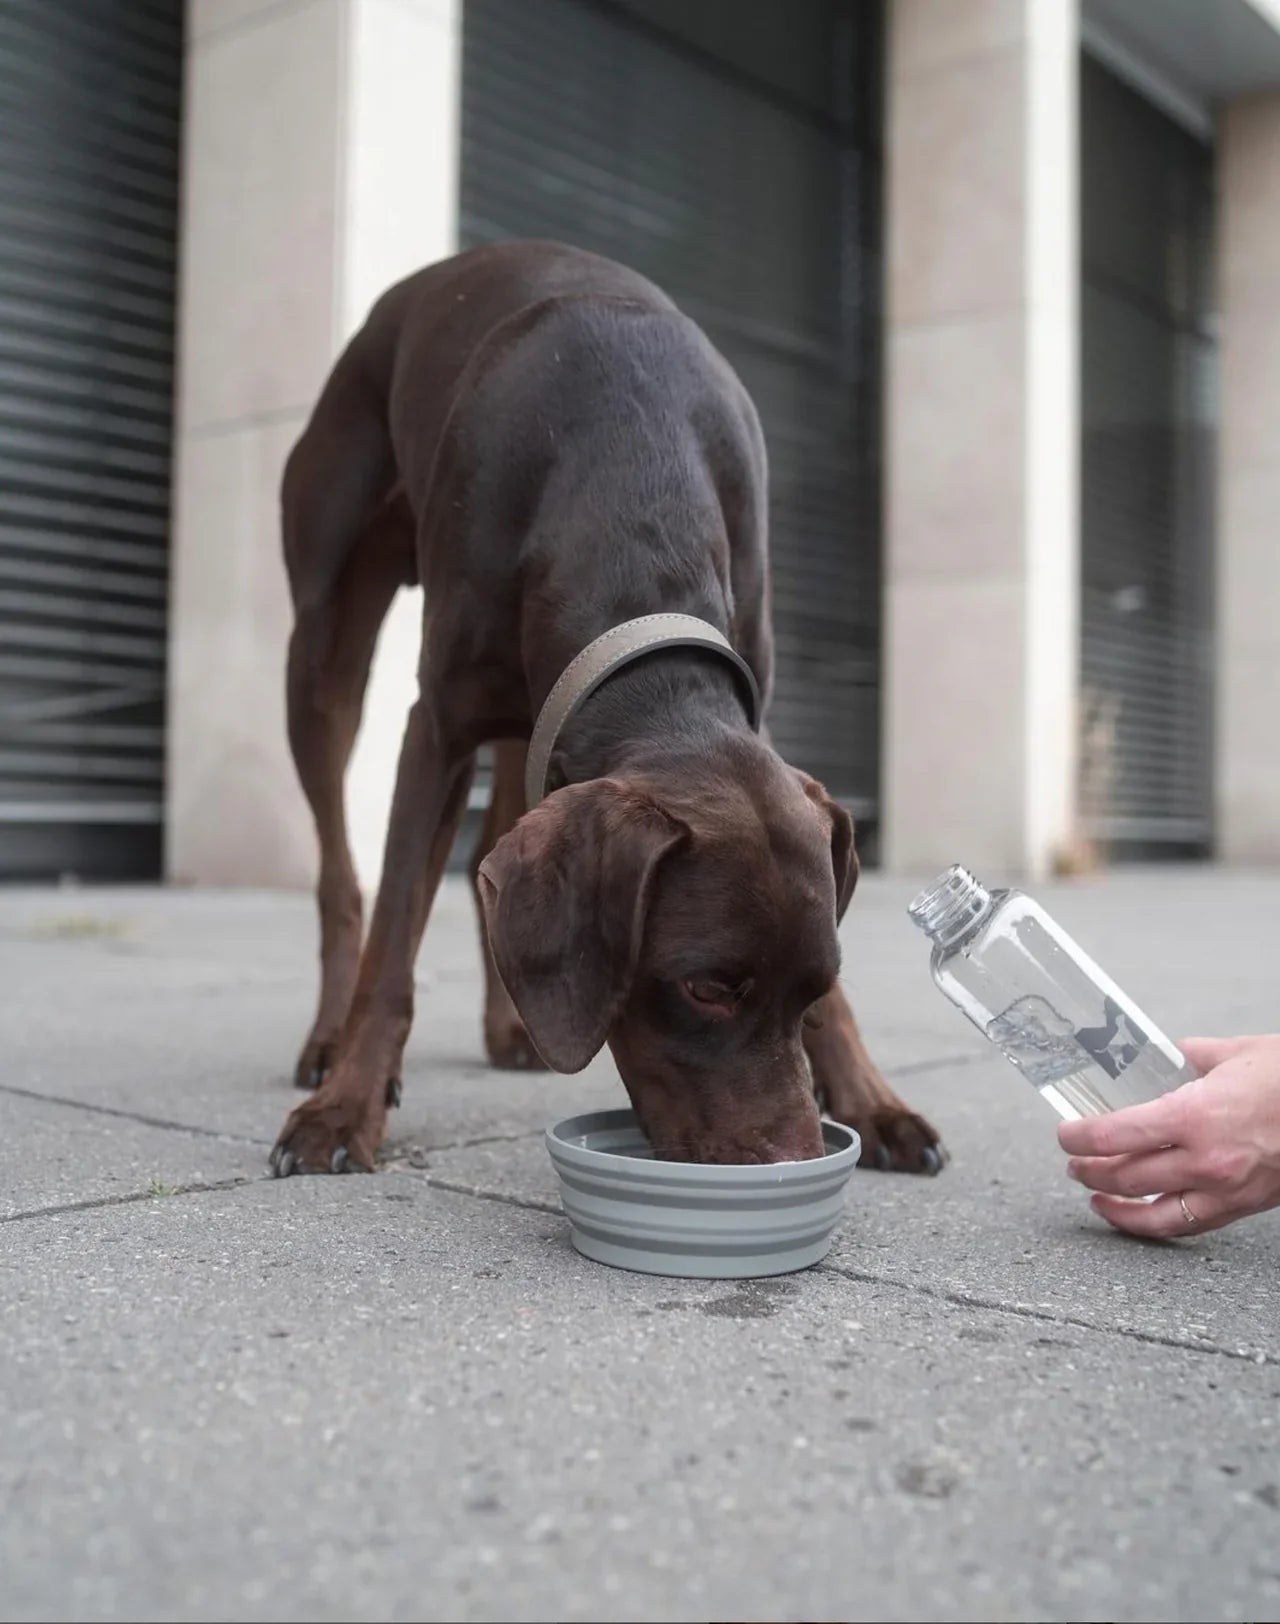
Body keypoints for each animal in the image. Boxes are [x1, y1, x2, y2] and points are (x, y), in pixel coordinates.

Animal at [269, 240, 942, 1175]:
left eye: (817, 983)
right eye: (706, 987)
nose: (794, 1158)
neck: (627, 480)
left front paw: (872, 1100)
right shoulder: (436, 728)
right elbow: (396, 941)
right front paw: (346, 1108)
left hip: (526, 714)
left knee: (492, 849)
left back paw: (512, 1025)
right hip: (324, 643)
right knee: (342, 875)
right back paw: (328, 1042)